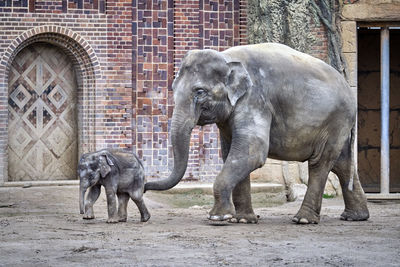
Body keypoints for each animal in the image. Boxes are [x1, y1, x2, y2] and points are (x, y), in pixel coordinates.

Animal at [144, 43, 368, 224]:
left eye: (199, 92)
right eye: (173, 89)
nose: (145, 185)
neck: (227, 58)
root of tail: (349, 89)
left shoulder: (255, 98)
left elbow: (251, 151)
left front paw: (218, 217)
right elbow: (232, 153)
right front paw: (243, 220)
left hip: (336, 120)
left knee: (320, 163)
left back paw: (303, 219)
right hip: (338, 125)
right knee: (342, 164)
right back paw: (355, 217)